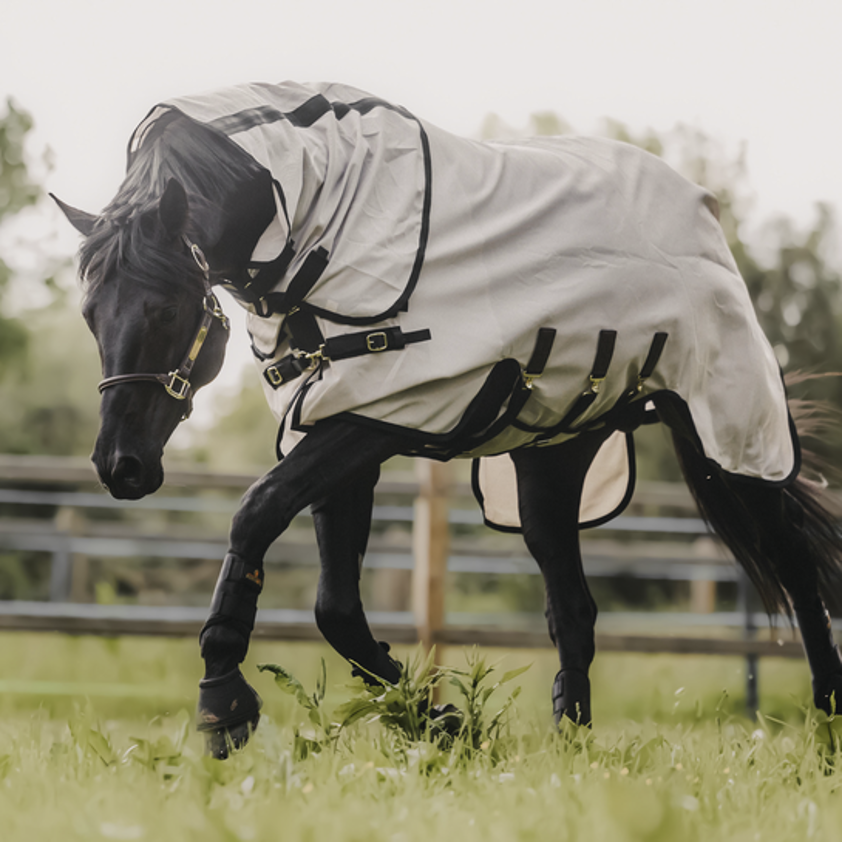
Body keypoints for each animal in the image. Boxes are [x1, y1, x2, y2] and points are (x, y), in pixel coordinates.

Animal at [52, 82, 840, 756]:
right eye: (89, 315)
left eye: (164, 310)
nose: (120, 466)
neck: (316, 215)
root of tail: (701, 205)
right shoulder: (335, 418)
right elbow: (335, 606)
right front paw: (440, 721)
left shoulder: (375, 418)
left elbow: (255, 513)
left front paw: (223, 701)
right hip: (550, 461)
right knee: (574, 609)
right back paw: (570, 747)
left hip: (729, 438)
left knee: (799, 572)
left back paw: (828, 728)